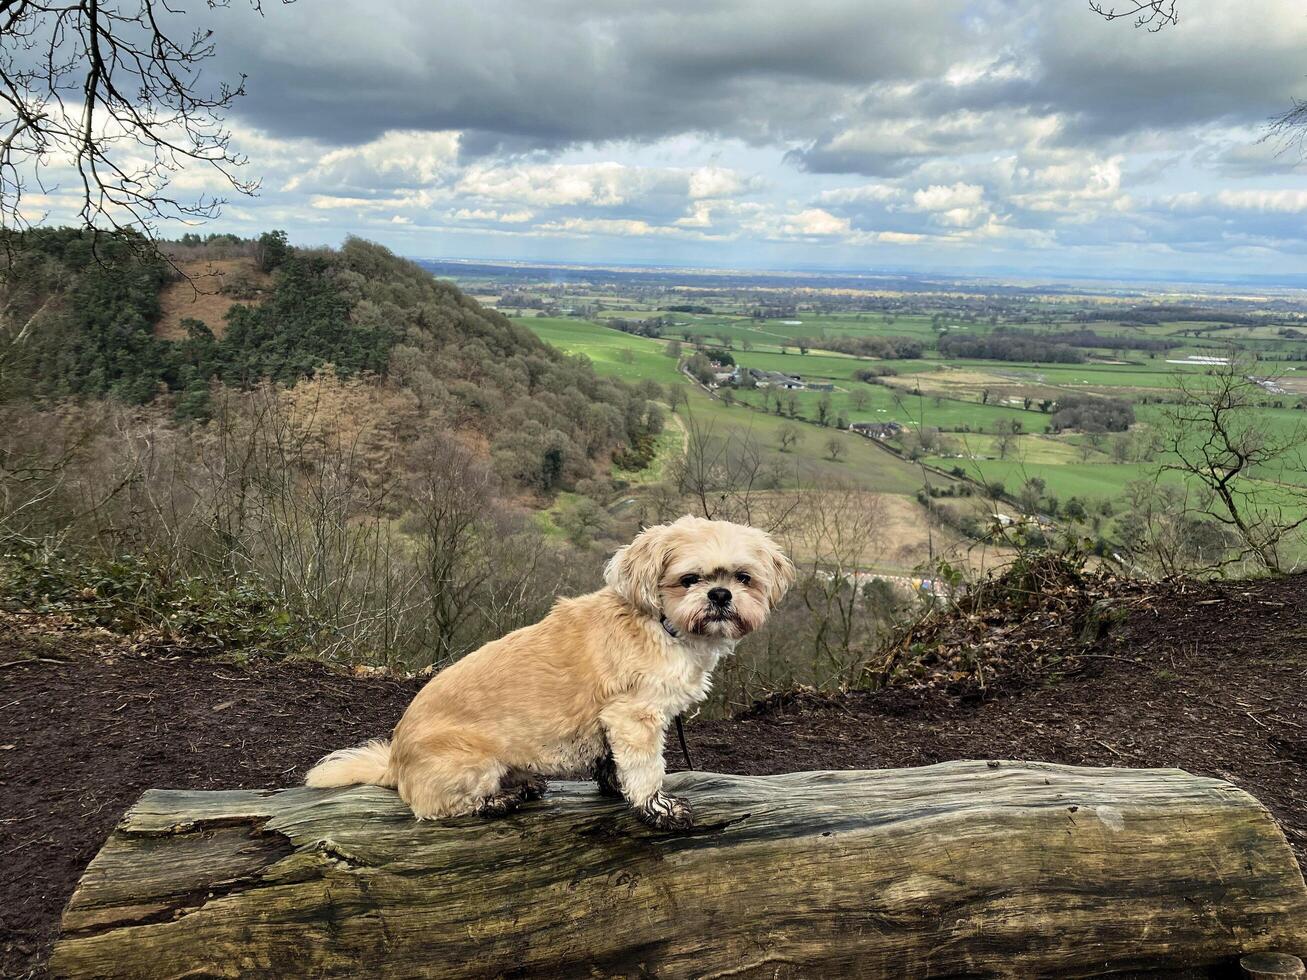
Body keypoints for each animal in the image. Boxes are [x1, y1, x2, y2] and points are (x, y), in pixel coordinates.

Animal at [305, 517, 794, 831]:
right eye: (689, 578)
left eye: (743, 577)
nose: (720, 595)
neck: (660, 624)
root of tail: (394, 763)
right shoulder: (633, 718)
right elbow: (646, 769)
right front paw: (658, 807)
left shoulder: (612, 725)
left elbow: (613, 765)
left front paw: (616, 788)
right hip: (471, 763)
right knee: (439, 808)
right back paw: (497, 801)